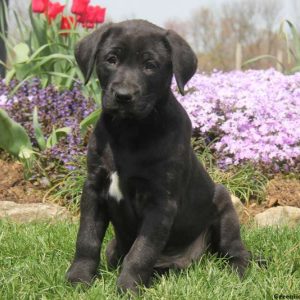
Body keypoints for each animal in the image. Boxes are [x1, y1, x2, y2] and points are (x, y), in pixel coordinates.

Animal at [66, 18, 251, 292]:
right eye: (111, 59)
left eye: (150, 65)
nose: (123, 96)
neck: (129, 131)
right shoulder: (93, 188)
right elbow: (87, 238)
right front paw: (79, 278)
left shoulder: (160, 201)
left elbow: (142, 250)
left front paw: (127, 287)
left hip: (223, 203)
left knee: (235, 249)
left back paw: (238, 272)